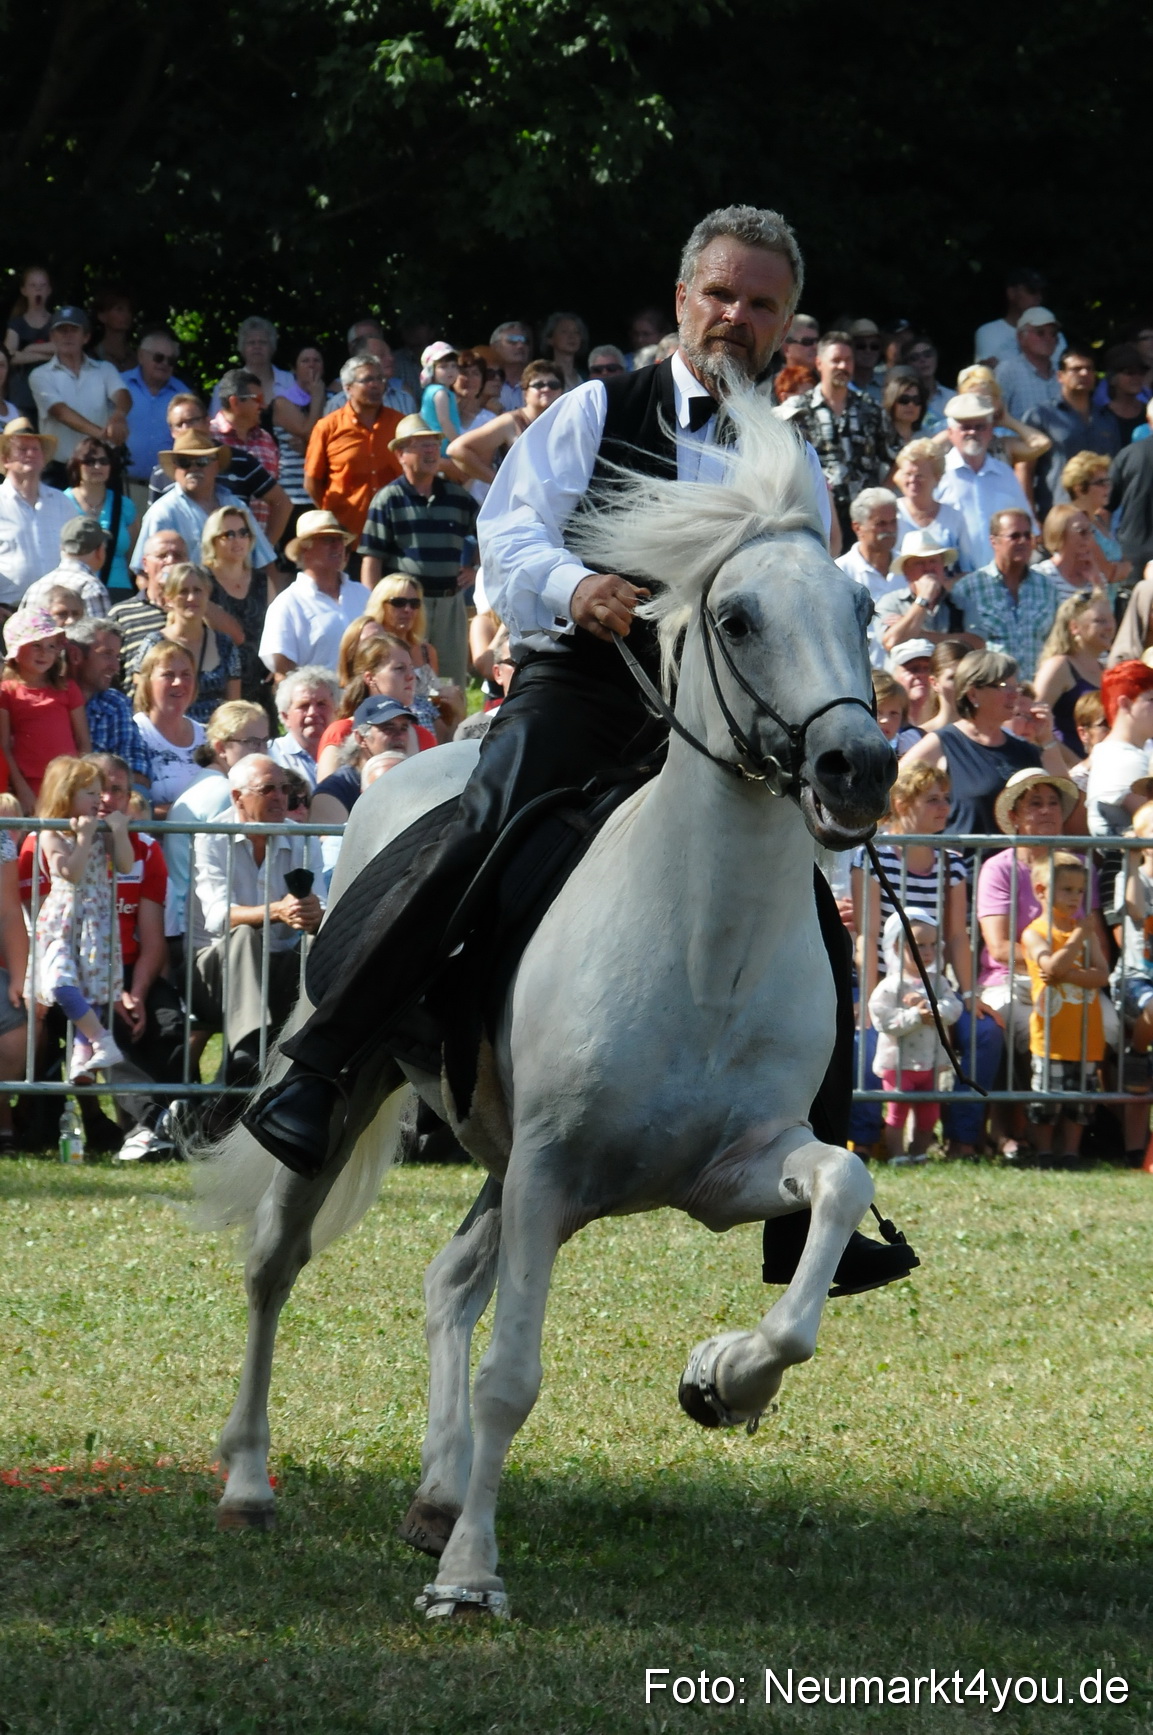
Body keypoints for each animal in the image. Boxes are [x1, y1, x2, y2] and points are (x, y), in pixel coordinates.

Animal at [193, 393, 896, 1621]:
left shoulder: (729, 1166)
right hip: (353, 1094)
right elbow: (511, 1374)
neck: (703, 941)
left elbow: (832, 1205)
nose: (857, 766)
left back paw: (434, 1492)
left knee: (445, 1284)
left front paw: (725, 1379)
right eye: (740, 619)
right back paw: (249, 1481)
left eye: (858, 606)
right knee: (276, 1265)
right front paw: (473, 1580)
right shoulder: (552, 1173)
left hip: (499, 1159)